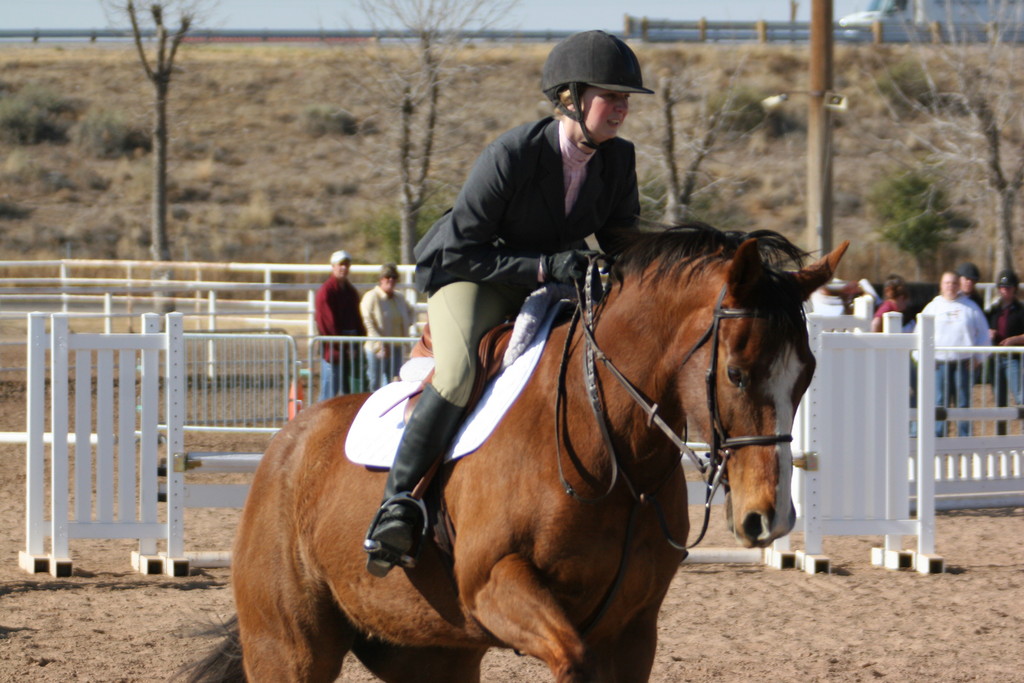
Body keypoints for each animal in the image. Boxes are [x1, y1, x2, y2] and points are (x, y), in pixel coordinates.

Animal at [182, 225, 847, 683]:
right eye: (735, 373)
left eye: (808, 375)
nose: (770, 519)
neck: (611, 450)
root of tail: (287, 446)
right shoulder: (496, 585)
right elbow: (571, 657)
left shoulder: (634, 632)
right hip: (289, 649)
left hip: (428, 653)